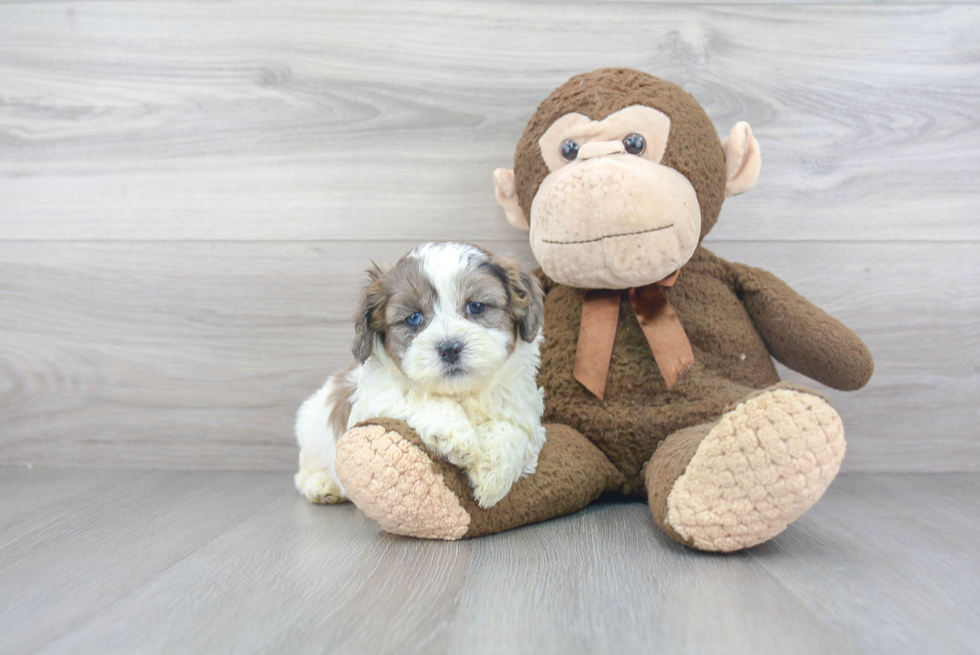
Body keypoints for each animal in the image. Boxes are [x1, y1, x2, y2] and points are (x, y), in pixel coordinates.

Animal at [294, 243, 548, 510]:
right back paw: (322, 485)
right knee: (304, 472)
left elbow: (513, 429)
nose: (449, 348)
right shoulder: (378, 395)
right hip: (311, 432)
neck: (461, 392)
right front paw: (457, 435)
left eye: (476, 306)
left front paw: (493, 475)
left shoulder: (523, 407)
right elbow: (418, 395)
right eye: (413, 318)